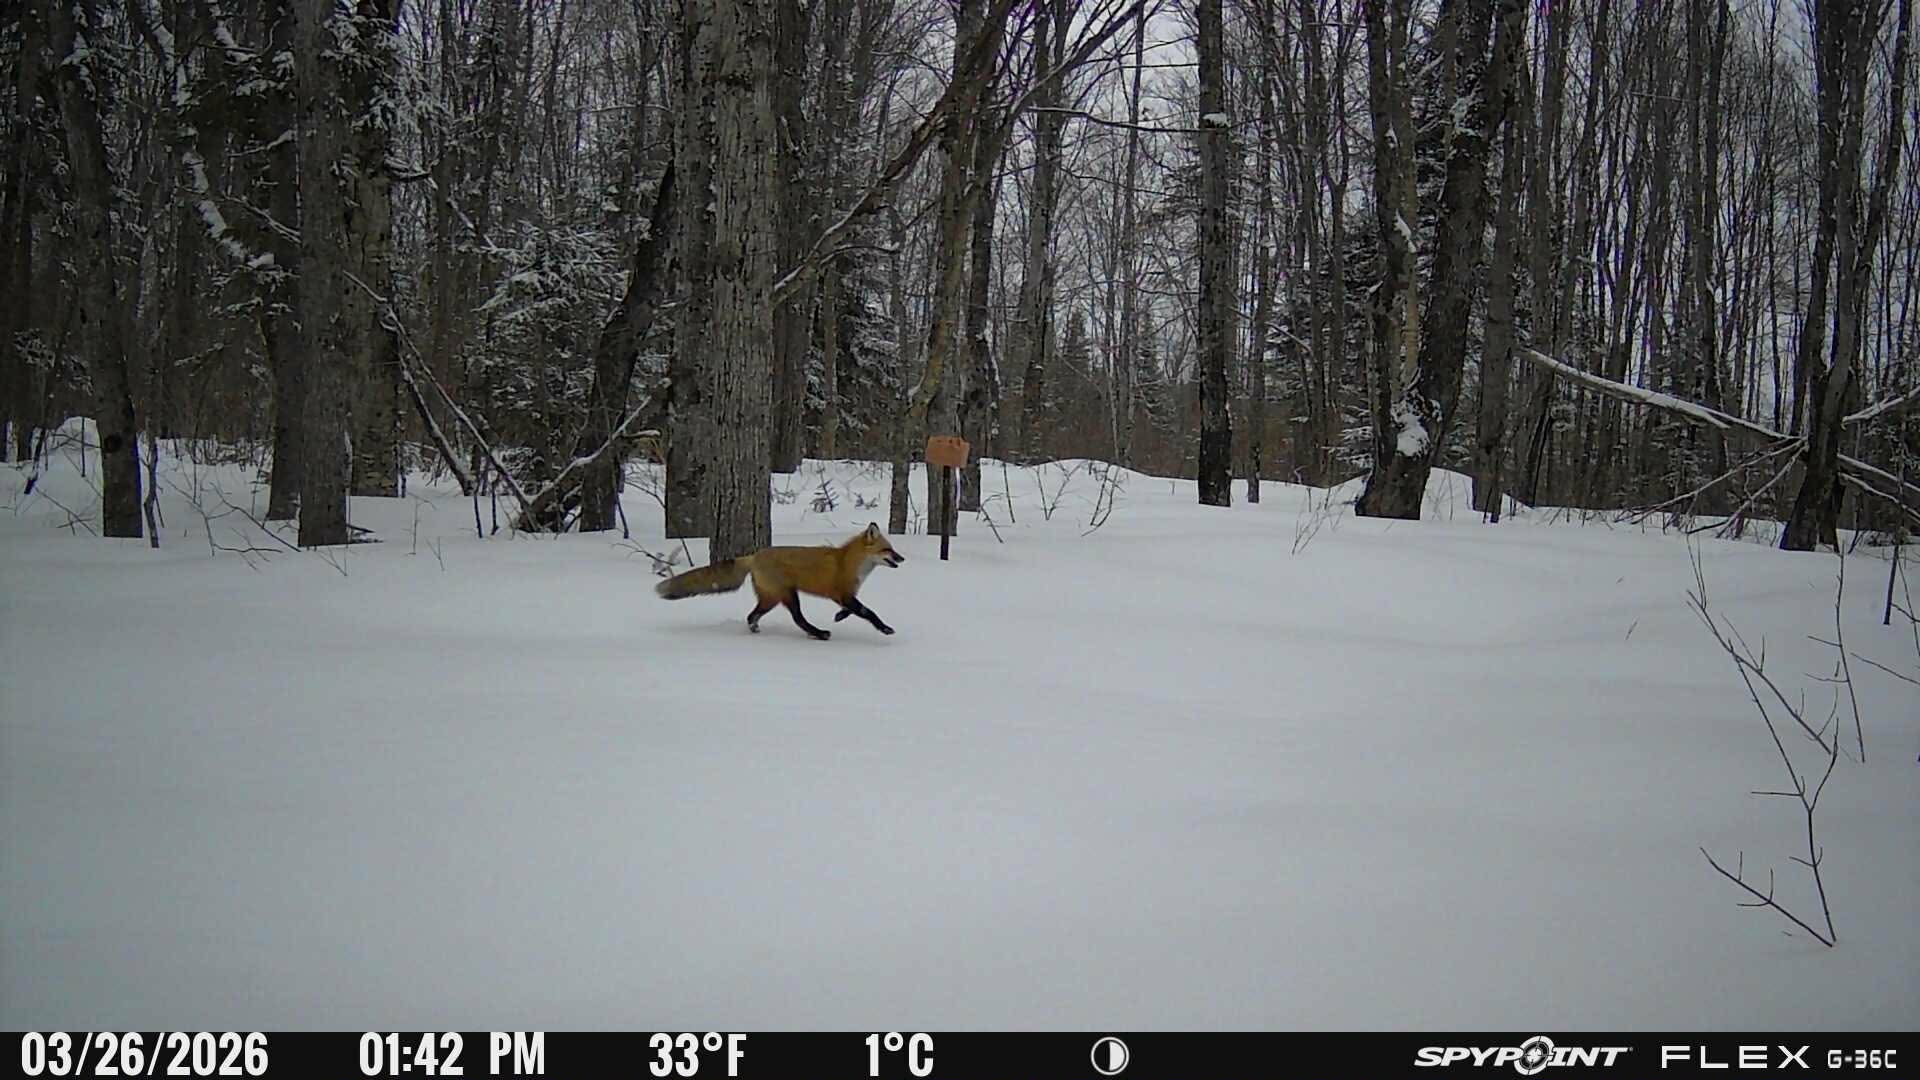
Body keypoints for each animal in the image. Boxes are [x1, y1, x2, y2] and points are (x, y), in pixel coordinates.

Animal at [654, 522, 905, 640]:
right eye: (888, 550)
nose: (902, 558)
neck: (848, 562)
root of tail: (754, 555)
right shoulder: (841, 593)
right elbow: (868, 612)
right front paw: (884, 628)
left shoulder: (845, 595)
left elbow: (853, 610)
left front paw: (839, 616)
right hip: (787, 596)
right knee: (797, 619)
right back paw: (818, 633)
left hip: (771, 599)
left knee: (751, 615)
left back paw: (755, 630)